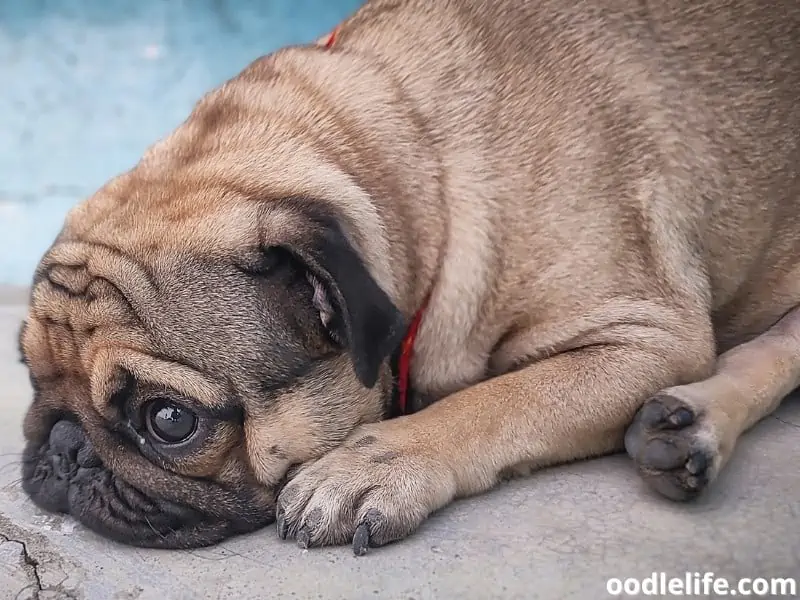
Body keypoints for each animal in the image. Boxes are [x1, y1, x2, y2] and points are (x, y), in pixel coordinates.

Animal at [17, 0, 800, 556]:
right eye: (30, 374)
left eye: (169, 421)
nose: (64, 445)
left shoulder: (647, 335)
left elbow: (502, 400)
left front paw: (377, 463)